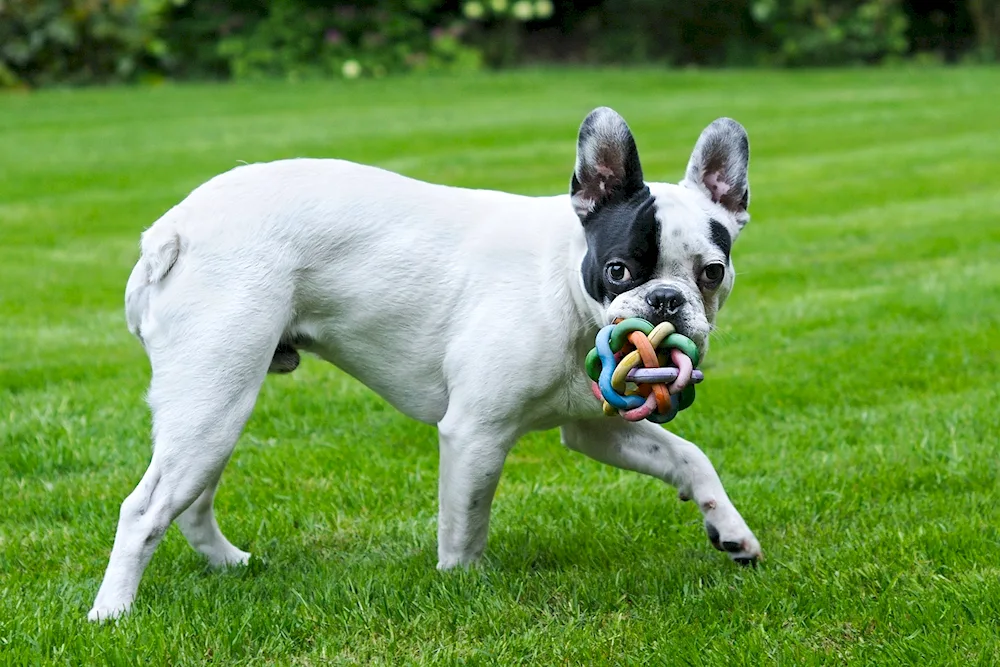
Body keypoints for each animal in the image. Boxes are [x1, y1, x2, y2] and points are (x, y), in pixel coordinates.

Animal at [90, 105, 760, 620]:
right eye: (619, 269)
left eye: (712, 272)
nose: (666, 301)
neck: (566, 286)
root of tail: (172, 231)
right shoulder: (475, 434)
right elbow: (466, 521)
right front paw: (463, 586)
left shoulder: (591, 427)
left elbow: (686, 456)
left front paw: (729, 529)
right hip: (214, 399)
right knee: (145, 509)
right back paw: (112, 613)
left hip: (216, 409)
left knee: (191, 501)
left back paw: (229, 564)